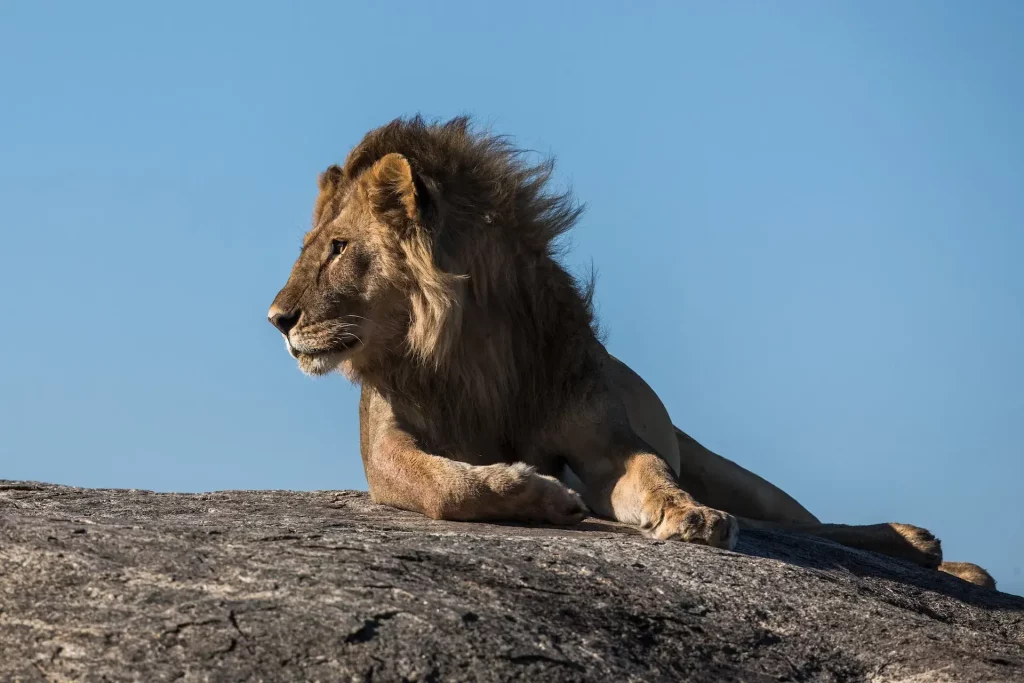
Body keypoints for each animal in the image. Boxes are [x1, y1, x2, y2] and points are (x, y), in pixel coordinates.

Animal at [268, 114, 995, 589]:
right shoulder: (385, 450)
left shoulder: (606, 439)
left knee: (805, 525)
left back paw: (932, 551)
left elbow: (650, 471)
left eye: (337, 248)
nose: (277, 319)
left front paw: (688, 514)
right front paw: (537, 493)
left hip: (733, 472)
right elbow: (444, 484)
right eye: (311, 246)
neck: (469, 353)